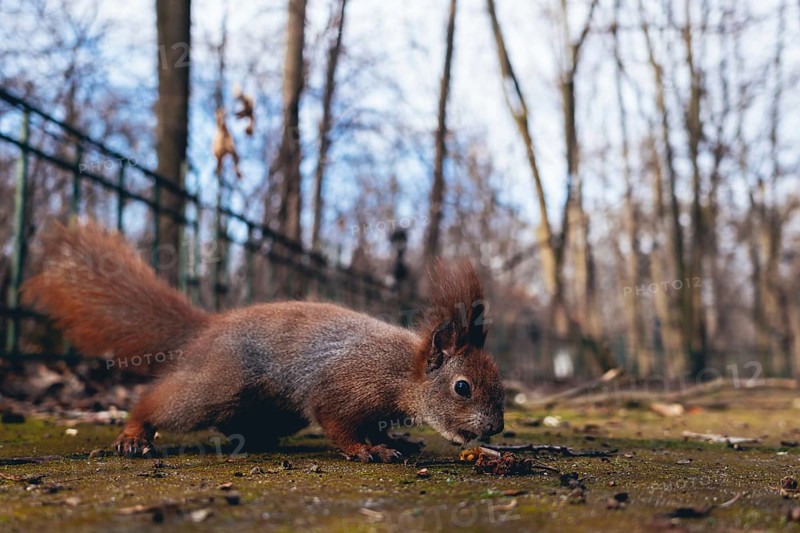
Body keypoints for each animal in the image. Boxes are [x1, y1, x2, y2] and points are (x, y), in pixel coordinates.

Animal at [21, 221, 504, 462]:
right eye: (462, 387)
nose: (497, 428)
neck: (403, 371)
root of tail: (207, 328)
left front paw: (397, 440)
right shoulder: (344, 388)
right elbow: (340, 424)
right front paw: (368, 450)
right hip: (220, 386)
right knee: (161, 401)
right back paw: (134, 434)